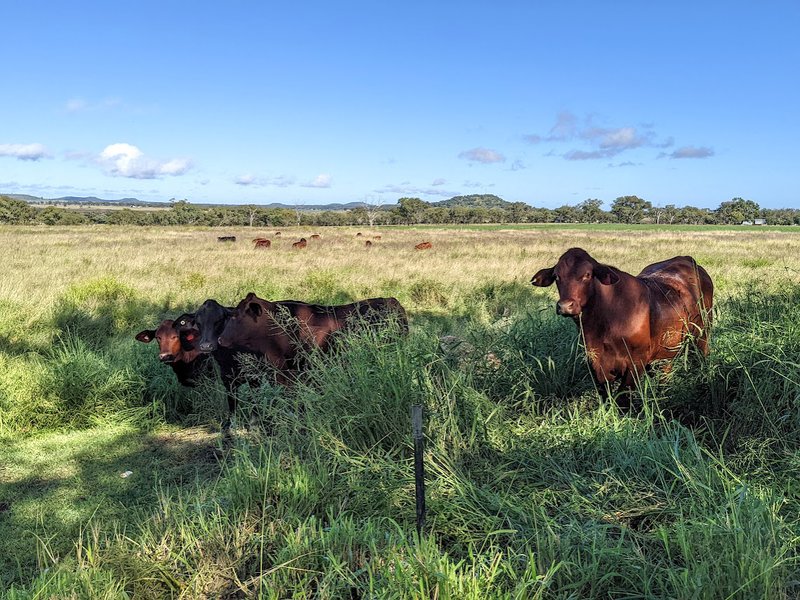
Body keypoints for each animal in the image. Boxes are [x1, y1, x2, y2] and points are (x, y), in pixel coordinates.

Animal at [532, 246, 712, 400]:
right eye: (557, 276)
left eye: (587, 275)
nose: (565, 306)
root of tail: (686, 259)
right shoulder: (595, 364)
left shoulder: (636, 363)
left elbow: (622, 399)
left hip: (702, 336)